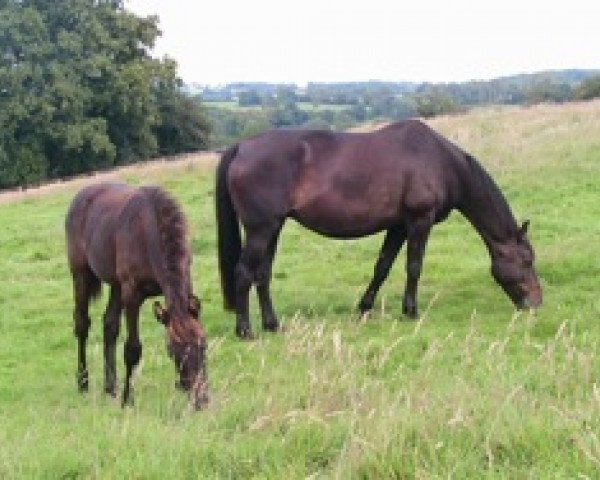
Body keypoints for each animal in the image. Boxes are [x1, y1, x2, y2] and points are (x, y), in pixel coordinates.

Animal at [66, 184, 209, 408]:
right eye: (173, 350)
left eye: (204, 344)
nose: (200, 399)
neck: (149, 233)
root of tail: (81, 195)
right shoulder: (132, 295)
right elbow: (132, 349)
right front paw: (127, 399)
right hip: (81, 275)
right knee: (81, 324)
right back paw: (83, 382)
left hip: (116, 286)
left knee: (109, 325)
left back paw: (110, 386)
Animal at [217, 120, 544, 340]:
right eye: (527, 261)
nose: (536, 304)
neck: (439, 160)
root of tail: (241, 147)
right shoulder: (419, 221)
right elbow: (414, 267)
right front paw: (411, 311)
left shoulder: (398, 226)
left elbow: (382, 267)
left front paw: (364, 308)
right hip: (261, 229)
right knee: (244, 273)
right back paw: (245, 331)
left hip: (273, 227)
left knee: (262, 275)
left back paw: (272, 325)